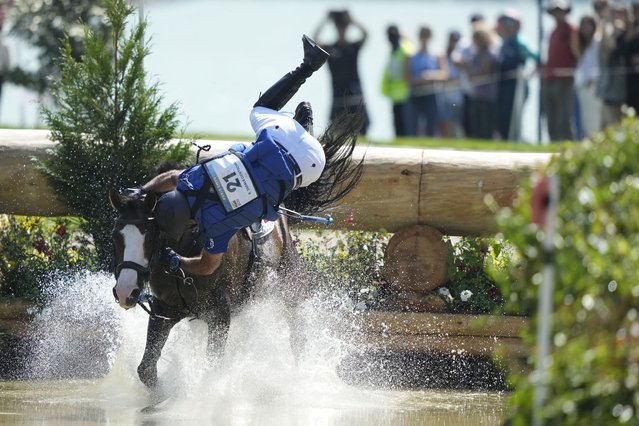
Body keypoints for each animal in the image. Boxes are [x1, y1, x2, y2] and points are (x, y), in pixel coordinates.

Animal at [107, 110, 362, 390]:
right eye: (115, 237)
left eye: (151, 237)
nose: (125, 291)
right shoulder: (164, 310)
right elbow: (146, 370)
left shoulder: (220, 316)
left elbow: (211, 370)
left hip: (290, 288)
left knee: (297, 336)